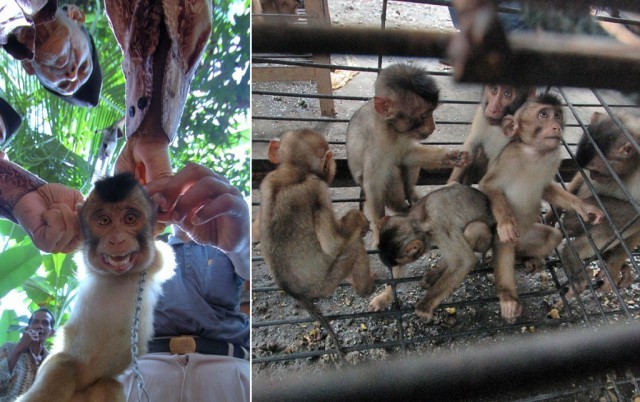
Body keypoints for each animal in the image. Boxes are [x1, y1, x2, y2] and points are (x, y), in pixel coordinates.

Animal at [16, 174, 175, 402]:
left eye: (130, 219)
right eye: (104, 221)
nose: (116, 240)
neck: (120, 277)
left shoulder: (155, 263)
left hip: (93, 389)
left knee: (109, 385)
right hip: (55, 365)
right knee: (62, 369)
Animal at [256, 128, 376, 358]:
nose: (333, 166)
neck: (292, 170)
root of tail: (295, 293)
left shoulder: (266, 181)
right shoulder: (317, 188)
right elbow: (333, 242)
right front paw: (359, 220)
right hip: (324, 284)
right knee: (354, 248)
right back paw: (364, 288)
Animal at [344, 63, 470, 242]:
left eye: (432, 112)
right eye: (424, 116)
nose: (433, 127)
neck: (392, 128)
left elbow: (408, 155)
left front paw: (450, 157)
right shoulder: (378, 140)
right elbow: (374, 183)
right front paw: (378, 229)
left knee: (408, 164)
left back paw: (411, 194)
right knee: (390, 173)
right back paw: (402, 209)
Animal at [370, 184, 496, 318]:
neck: (420, 221)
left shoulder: (439, 228)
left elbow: (465, 260)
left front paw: (426, 304)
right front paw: (385, 297)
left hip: (486, 241)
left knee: (475, 228)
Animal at [480, 95, 604, 324]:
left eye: (558, 115)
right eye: (543, 115)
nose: (556, 127)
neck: (535, 153)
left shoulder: (553, 158)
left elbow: (547, 189)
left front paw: (583, 207)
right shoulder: (509, 157)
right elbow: (489, 186)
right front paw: (506, 223)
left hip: (528, 237)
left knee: (552, 236)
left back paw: (530, 259)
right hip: (507, 240)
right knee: (505, 248)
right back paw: (508, 297)